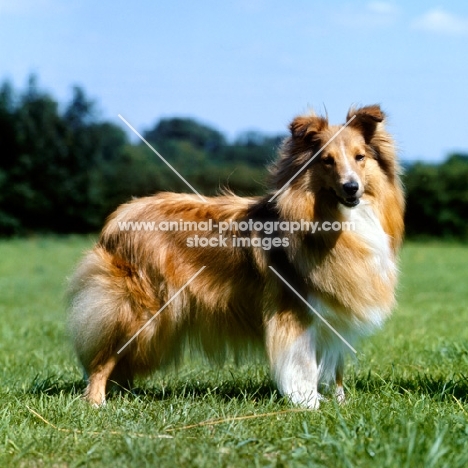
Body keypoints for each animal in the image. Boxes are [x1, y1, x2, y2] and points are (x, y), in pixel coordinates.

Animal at [67, 105, 404, 406]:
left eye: (360, 157)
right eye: (327, 161)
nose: (351, 188)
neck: (336, 219)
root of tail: (119, 217)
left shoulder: (334, 312)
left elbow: (335, 365)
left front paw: (340, 403)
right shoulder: (295, 311)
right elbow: (303, 363)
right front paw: (308, 403)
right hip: (141, 310)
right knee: (103, 358)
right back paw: (96, 402)